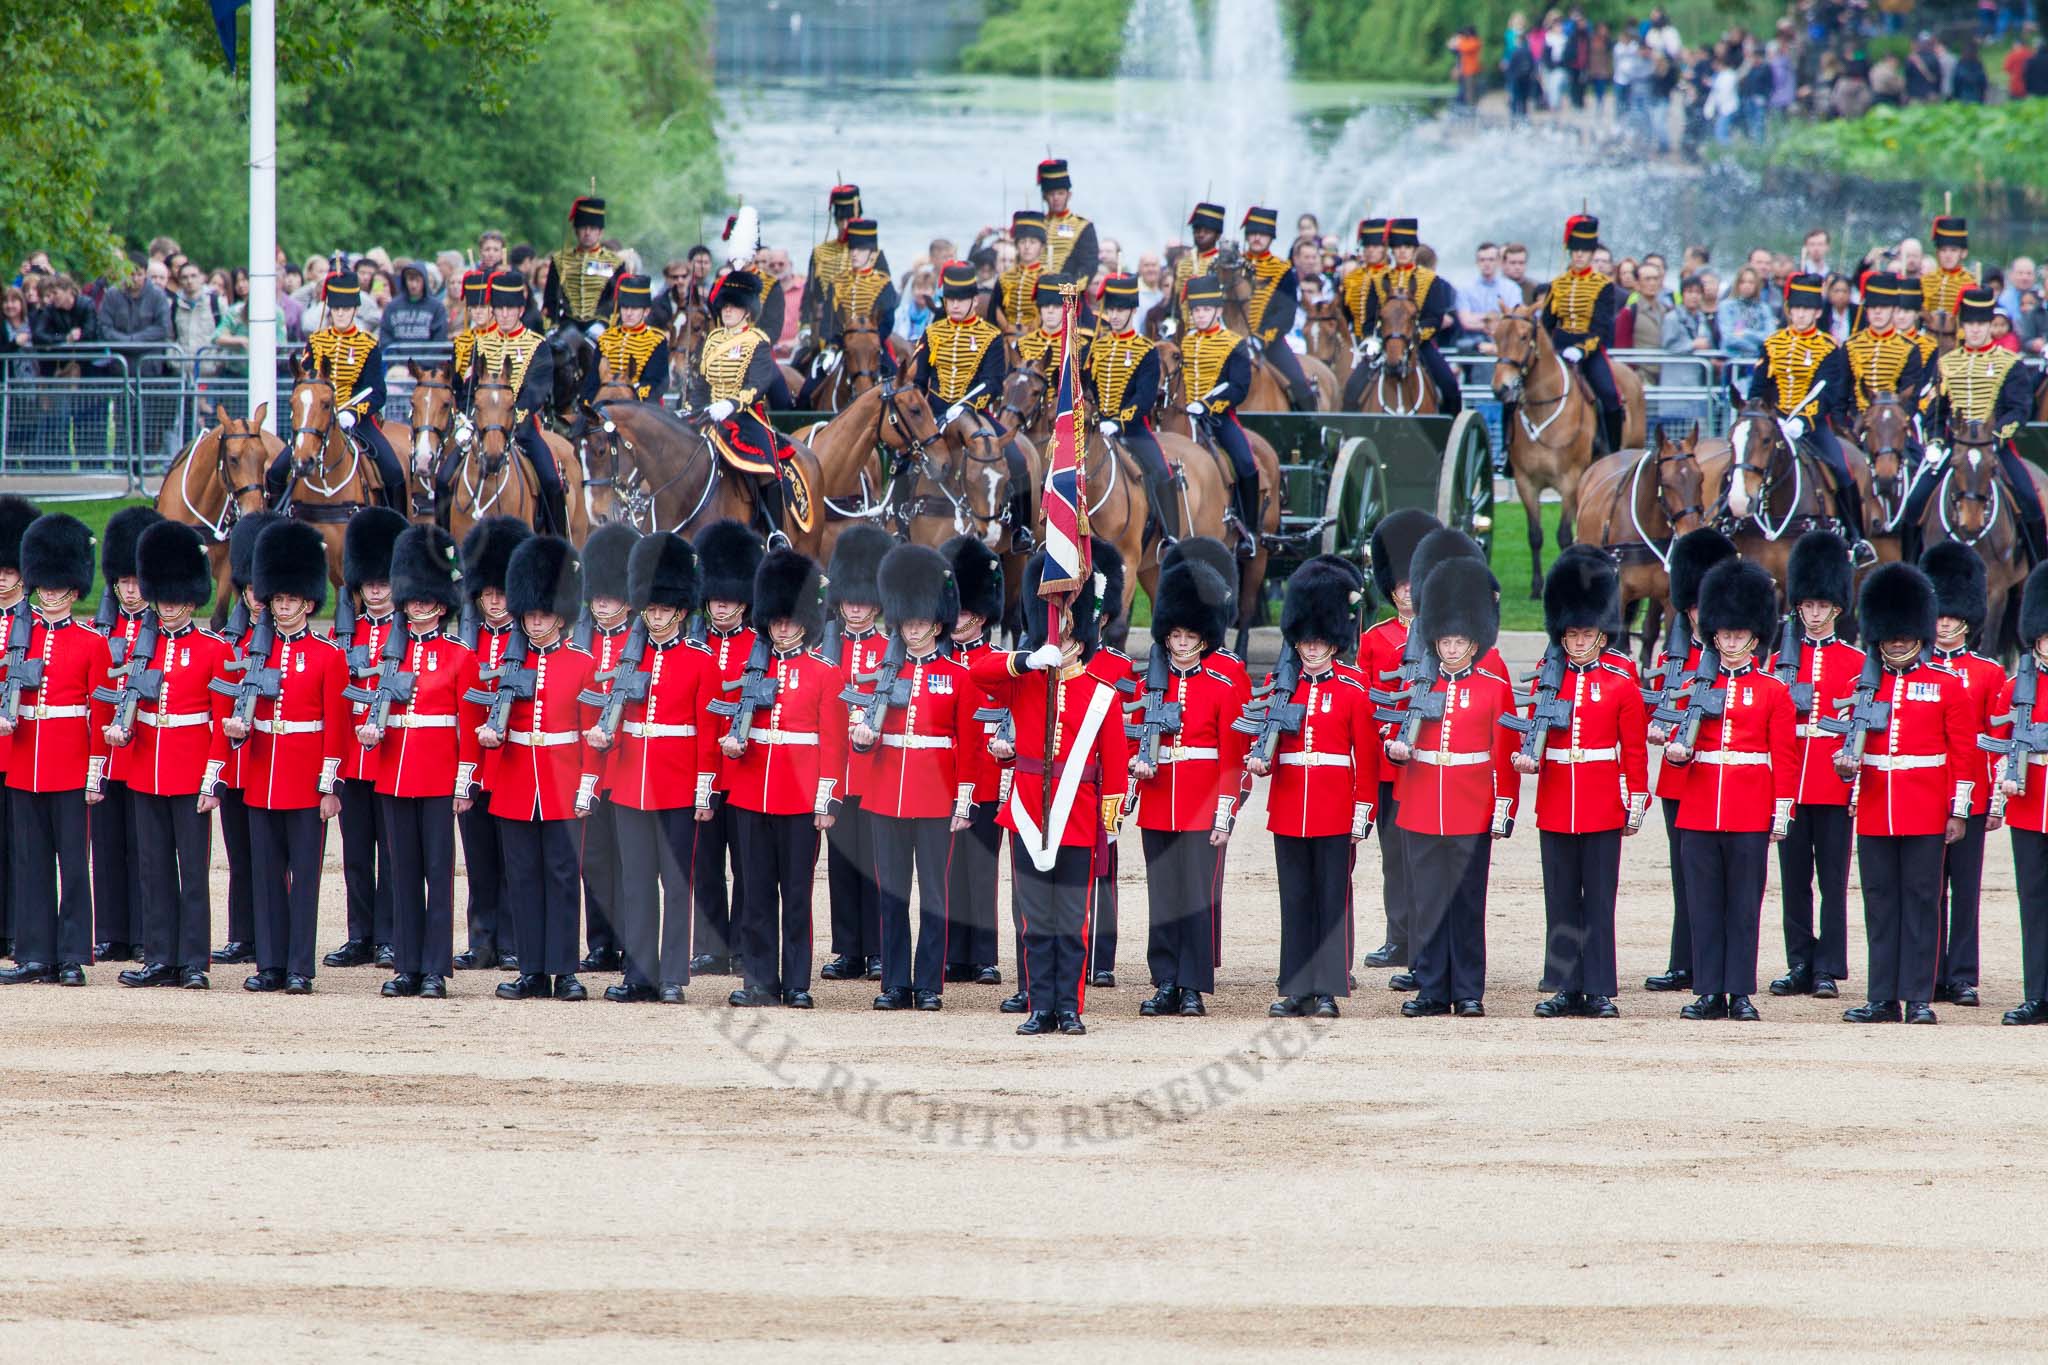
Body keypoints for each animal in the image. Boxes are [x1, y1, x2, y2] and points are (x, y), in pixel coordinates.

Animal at [1490, 309, 1646, 597]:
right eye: (1495, 336)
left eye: (1524, 336)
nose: (1501, 388)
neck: (1542, 409)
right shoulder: (1525, 482)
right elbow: (1535, 535)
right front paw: (1536, 587)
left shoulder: (1569, 480)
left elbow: (1562, 535)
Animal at [1572, 423, 1720, 663]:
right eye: (1666, 483)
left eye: (1700, 478)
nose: (1690, 532)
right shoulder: (1620, 595)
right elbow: (1618, 645)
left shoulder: (1668, 599)